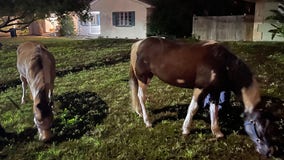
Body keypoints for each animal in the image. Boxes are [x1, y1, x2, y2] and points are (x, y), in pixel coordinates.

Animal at [129, 37, 272, 156]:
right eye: (258, 126)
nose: (269, 152)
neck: (221, 62)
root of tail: (139, 43)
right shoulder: (200, 88)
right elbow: (193, 108)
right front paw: (186, 129)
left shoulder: (215, 91)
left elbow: (214, 110)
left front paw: (217, 132)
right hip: (144, 78)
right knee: (141, 97)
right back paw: (147, 121)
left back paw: (140, 113)